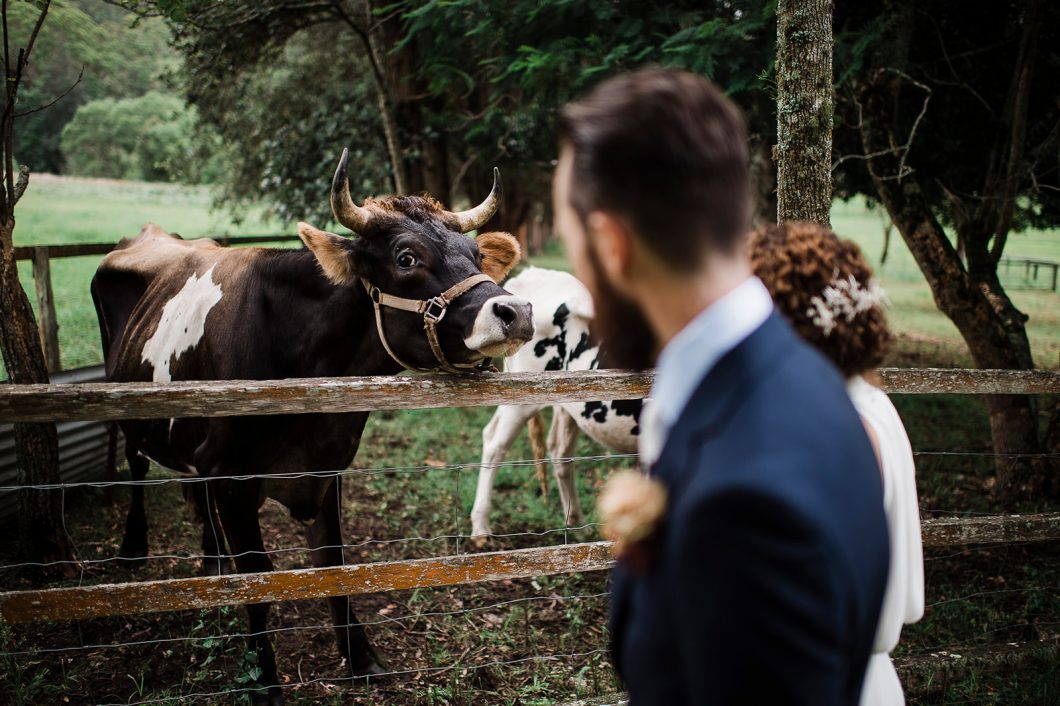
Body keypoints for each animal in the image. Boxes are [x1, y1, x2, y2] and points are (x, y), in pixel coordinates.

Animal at [92, 147, 534, 699]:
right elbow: (258, 578)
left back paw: (213, 563)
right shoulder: (232, 478)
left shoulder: (325, 470)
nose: (515, 310)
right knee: (134, 464)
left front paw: (361, 657)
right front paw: (263, 679)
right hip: (129, 407)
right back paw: (134, 548)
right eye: (406, 258)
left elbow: (332, 562)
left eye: (475, 255)